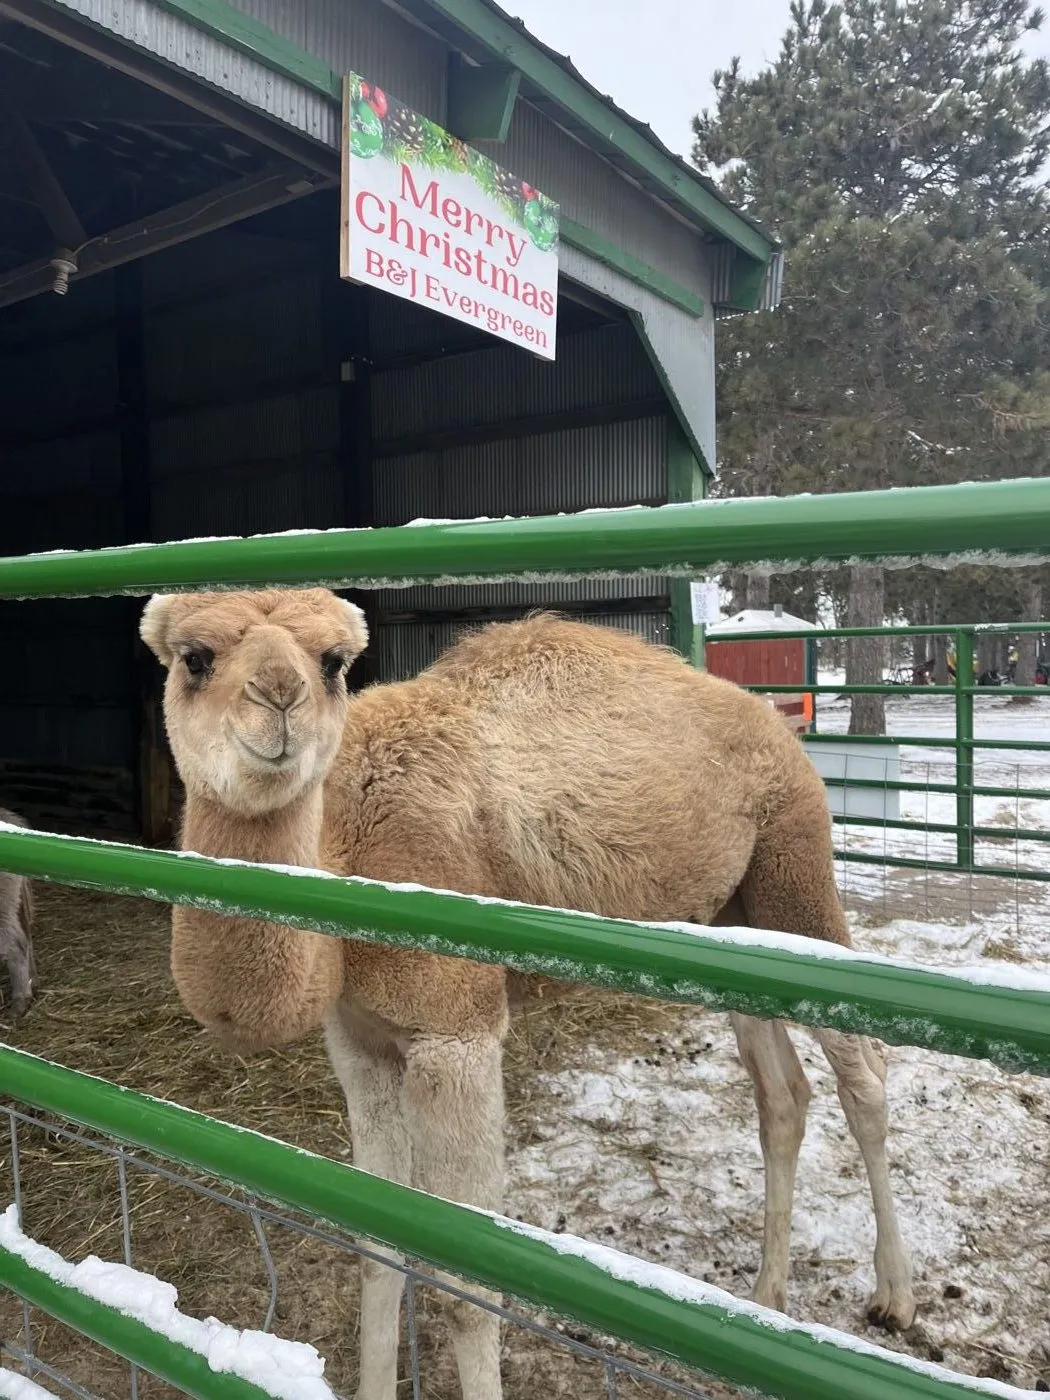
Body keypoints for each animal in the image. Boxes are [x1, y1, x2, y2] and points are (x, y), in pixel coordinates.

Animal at [140, 588, 915, 1400]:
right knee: (781, 1093)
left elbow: (467, 1283)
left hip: (793, 873)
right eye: (195, 658)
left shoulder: (458, 1032)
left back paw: (893, 1297)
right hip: (731, 921)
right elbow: (374, 1245)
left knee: (864, 1072)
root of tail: (777, 725)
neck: (344, 839)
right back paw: (766, 1297)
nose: (279, 696)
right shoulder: (359, 1039)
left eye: (333, 662)